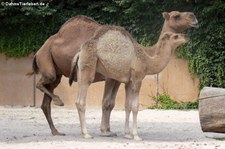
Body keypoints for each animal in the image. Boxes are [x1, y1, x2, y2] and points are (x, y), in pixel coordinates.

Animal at [28, 11, 199, 137]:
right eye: (177, 16)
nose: (194, 17)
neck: (146, 55)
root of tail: (40, 50)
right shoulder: (117, 78)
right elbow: (110, 103)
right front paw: (109, 132)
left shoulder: (122, 80)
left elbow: (118, 104)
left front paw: (117, 131)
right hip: (58, 67)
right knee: (51, 88)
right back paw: (78, 124)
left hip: (57, 75)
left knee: (45, 102)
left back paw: (56, 130)